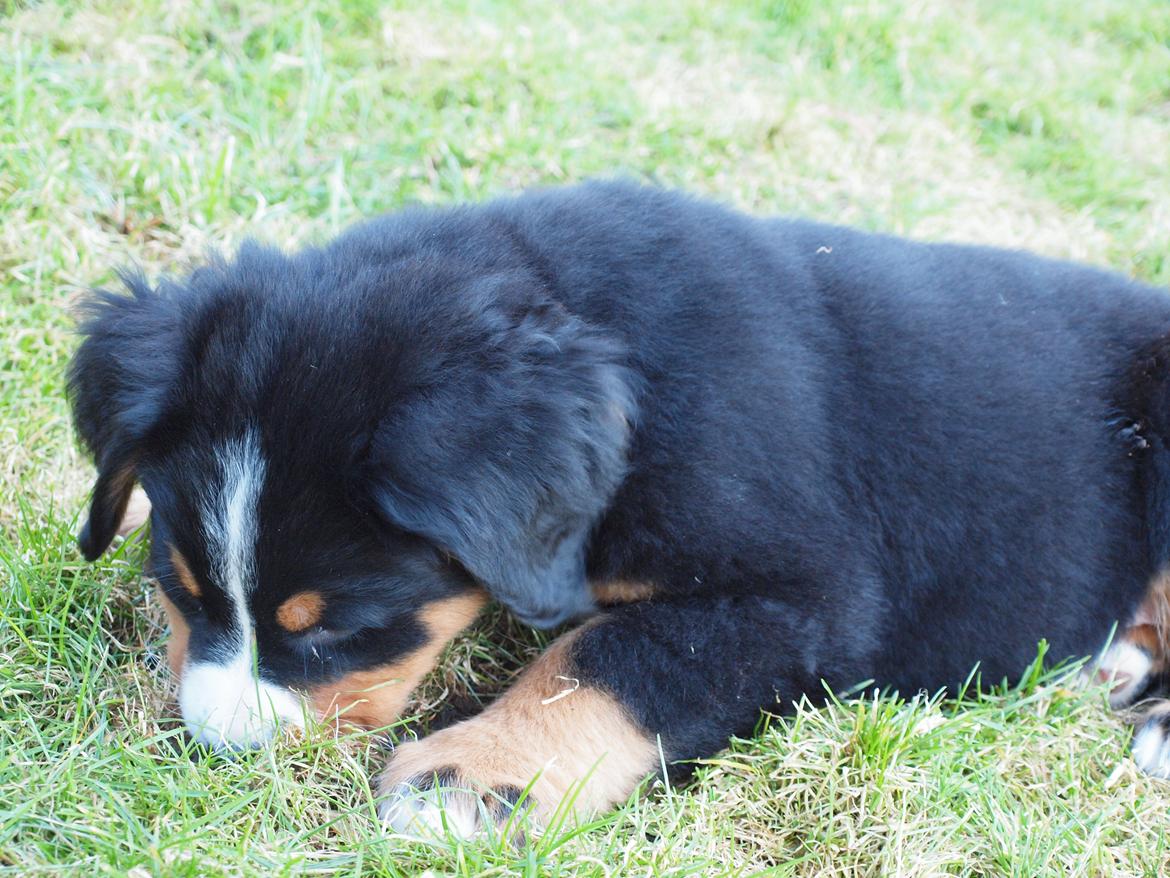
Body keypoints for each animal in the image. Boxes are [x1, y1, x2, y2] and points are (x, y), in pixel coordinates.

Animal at [68, 180, 1170, 838]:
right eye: (178, 584)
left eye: (336, 627)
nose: (217, 746)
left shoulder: (803, 596)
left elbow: (604, 662)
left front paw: (470, 781)